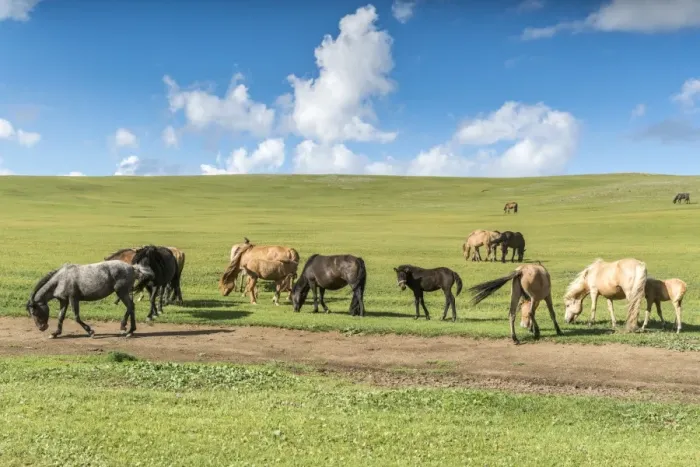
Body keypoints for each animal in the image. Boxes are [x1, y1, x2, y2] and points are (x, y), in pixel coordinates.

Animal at [25, 260, 153, 338]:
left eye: (34, 312)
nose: (42, 328)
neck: (61, 279)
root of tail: (132, 267)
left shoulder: (73, 299)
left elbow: (76, 317)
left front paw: (90, 331)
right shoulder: (64, 300)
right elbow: (60, 317)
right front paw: (55, 333)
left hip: (121, 292)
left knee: (130, 307)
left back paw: (126, 329)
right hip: (124, 292)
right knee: (131, 307)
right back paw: (129, 329)